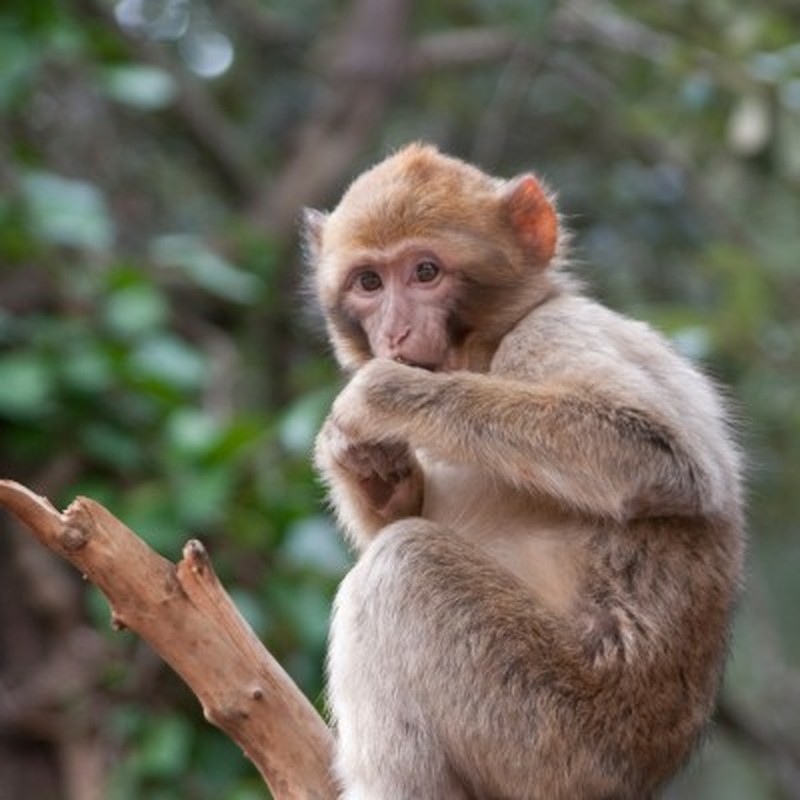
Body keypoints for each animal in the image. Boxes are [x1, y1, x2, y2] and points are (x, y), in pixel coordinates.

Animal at [304, 144, 744, 800]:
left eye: (425, 273)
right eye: (369, 282)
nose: (395, 333)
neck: (487, 350)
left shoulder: (551, 333)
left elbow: (663, 458)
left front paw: (383, 395)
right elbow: (396, 505)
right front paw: (357, 456)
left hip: (555, 737)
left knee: (402, 566)